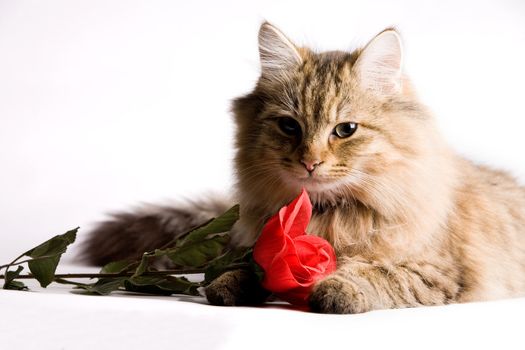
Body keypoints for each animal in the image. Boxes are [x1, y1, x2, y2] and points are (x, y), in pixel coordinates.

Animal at [81, 23, 524, 314]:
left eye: (345, 130)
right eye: (290, 127)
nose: (310, 162)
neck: (324, 214)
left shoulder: (435, 271)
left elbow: (379, 274)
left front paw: (336, 290)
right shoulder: (259, 246)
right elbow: (248, 269)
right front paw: (228, 286)